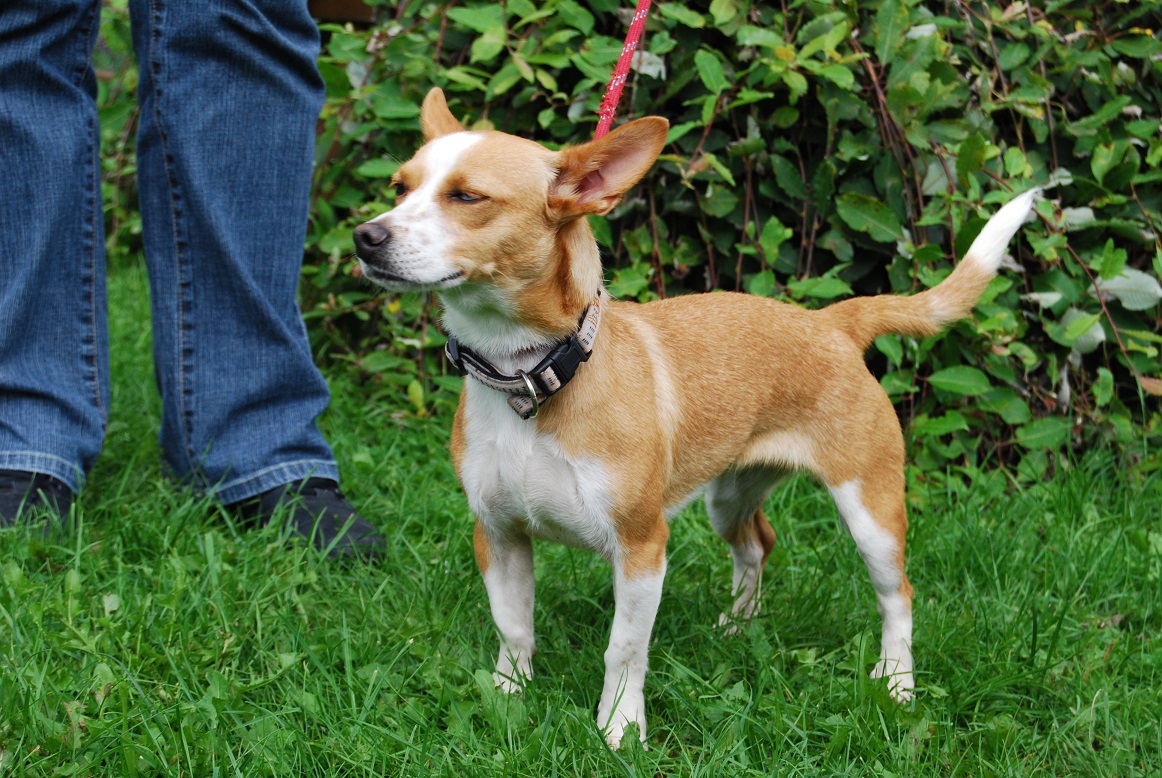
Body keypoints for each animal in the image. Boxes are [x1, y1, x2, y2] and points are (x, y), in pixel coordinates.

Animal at [353, 87, 1036, 748]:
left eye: (467, 197)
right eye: (400, 187)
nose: (366, 236)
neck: (528, 376)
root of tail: (832, 321)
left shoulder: (641, 549)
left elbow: (625, 650)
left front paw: (620, 727)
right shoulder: (499, 535)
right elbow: (514, 628)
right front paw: (507, 696)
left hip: (871, 514)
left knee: (898, 598)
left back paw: (896, 682)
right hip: (727, 499)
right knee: (758, 545)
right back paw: (737, 626)